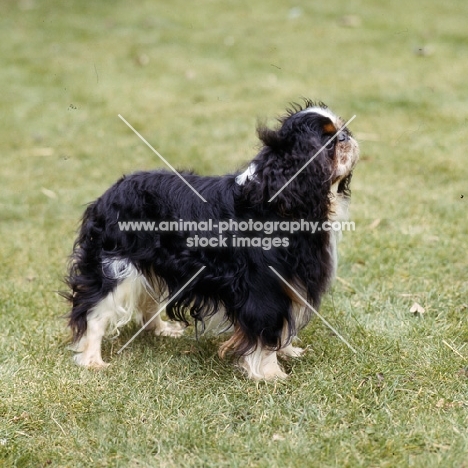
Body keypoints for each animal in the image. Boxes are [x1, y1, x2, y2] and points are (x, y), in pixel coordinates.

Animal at [65, 100, 358, 378]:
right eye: (328, 141)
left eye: (341, 130)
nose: (346, 135)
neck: (279, 197)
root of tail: (109, 194)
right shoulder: (263, 286)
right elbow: (267, 327)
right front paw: (270, 374)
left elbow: (282, 326)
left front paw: (286, 352)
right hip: (116, 267)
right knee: (93, 311)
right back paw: (92, 360)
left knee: (148, 299)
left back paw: (162, 330)